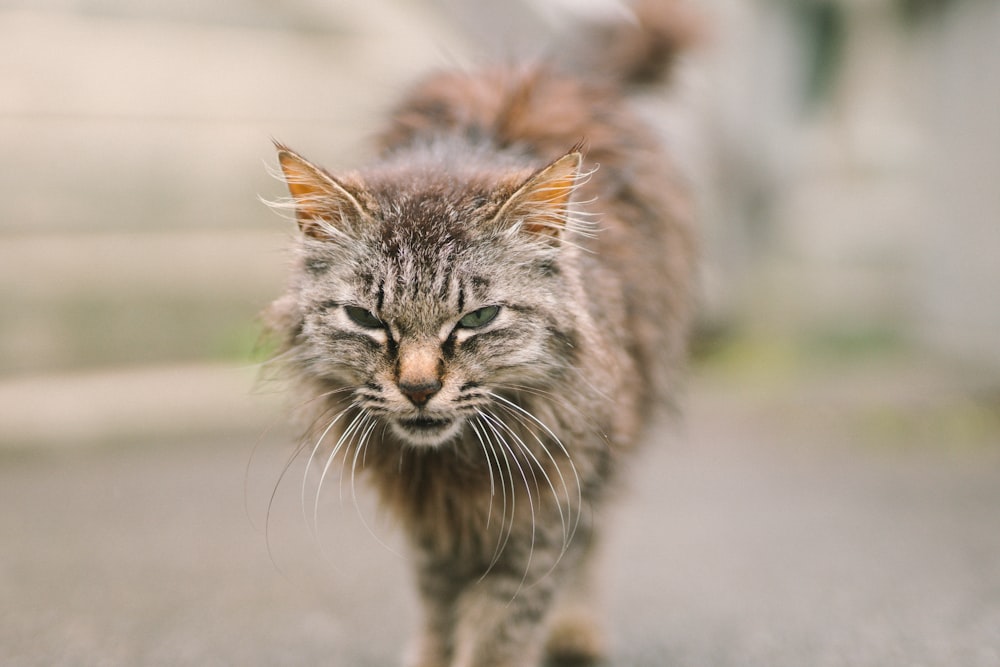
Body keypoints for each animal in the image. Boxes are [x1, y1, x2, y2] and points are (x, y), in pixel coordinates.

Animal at [266, 2, 700, 664]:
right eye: (367, 319)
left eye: (476, 319)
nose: (419, 388)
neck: (456, 466)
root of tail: (556, 67)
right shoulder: (435, 525)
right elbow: (440, 608)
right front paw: (430, 652)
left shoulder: (548, 510)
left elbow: (504, 623)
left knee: (596, 537)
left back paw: (577, 632)